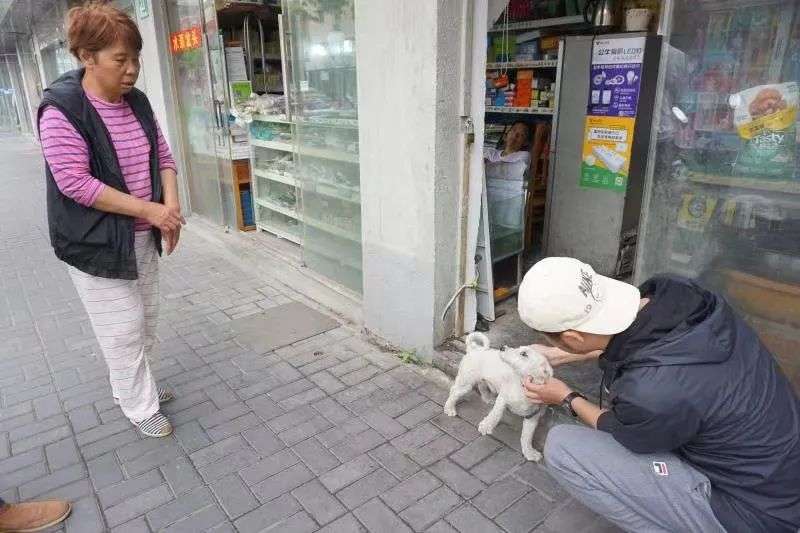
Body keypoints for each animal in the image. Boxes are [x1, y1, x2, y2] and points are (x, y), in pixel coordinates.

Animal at [444, 332, 553, 461]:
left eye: (524, 354)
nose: (502, 347)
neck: (522, 386)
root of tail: (474, 349)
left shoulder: (532, 416)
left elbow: (527, 436)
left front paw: (529, 452)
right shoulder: (503, 398)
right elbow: (496, 414)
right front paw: (486, 426)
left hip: (480, 380)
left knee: (481, 386)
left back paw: (487, 398)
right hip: (466, 383)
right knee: (454, 391)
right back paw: (449, 408)